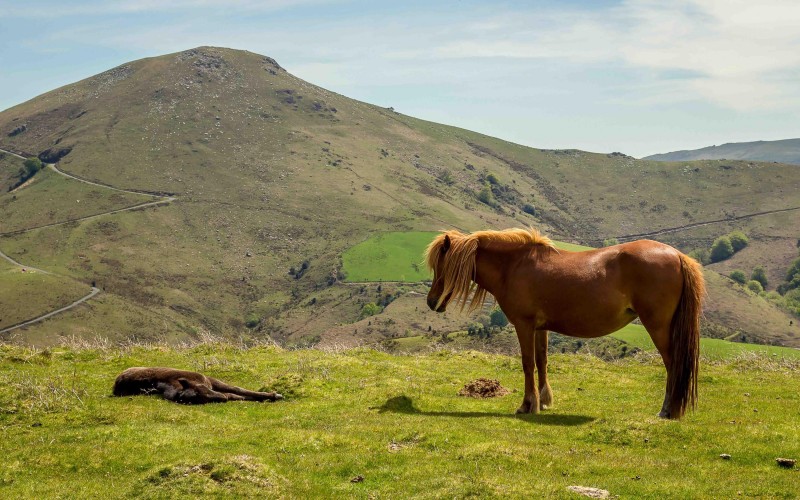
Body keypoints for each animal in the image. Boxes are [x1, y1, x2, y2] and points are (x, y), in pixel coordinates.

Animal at [422, 229, 704, 420]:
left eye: (442, 267)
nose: (432, 302)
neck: (514, 266)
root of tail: (677, 255)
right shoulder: (540, 328)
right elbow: (542, 361)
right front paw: (544, 401)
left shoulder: (524, 325)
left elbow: (527, 364)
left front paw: (527, 405)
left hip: (658, 326)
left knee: (673, 364)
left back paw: (668, 410)